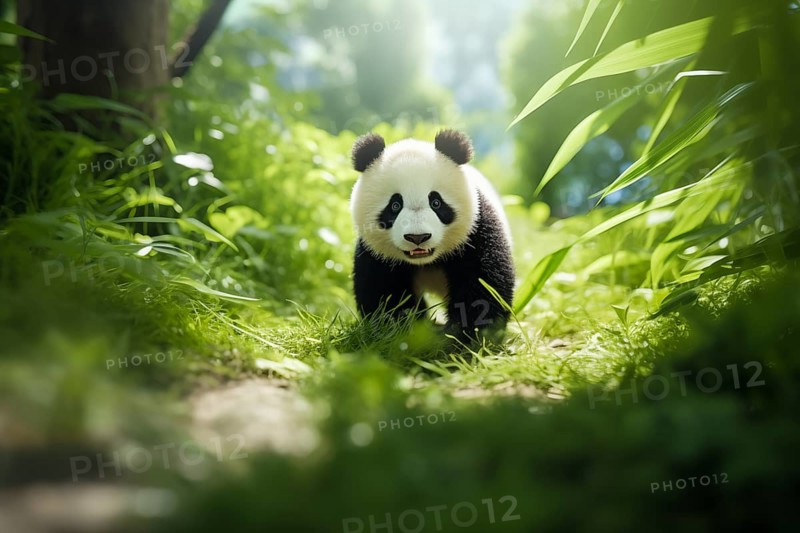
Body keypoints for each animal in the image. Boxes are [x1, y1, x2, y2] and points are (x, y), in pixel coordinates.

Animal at [350, 129, 515, 343]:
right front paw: (405, 332)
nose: (417, 237)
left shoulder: (476, 232)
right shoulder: (376, 253)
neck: (427, 261)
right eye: (395, 206)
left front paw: (466, 338)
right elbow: (383, 293)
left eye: (436, 202)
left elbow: (483, 286)